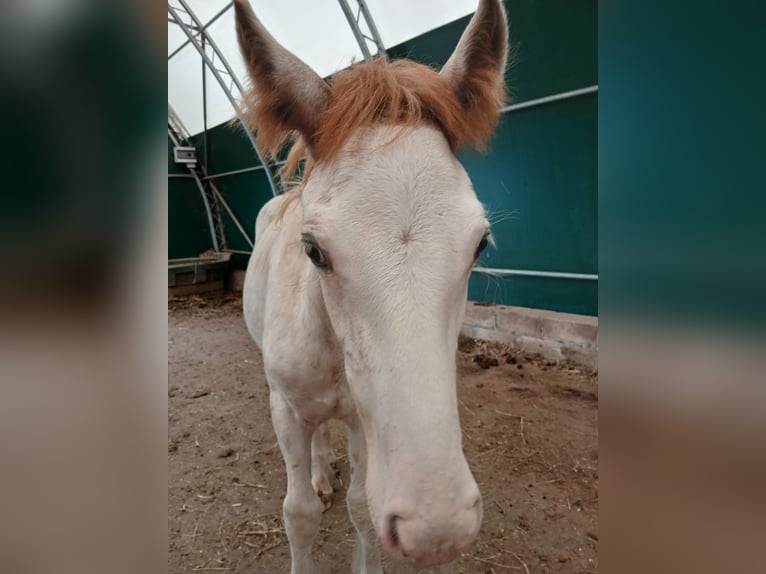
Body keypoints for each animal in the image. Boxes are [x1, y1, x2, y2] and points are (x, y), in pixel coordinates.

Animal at [236, 1, 510, 572]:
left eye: (480, 244)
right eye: (312, 249)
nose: (438, 525)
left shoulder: (366, 419)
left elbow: (362, 505)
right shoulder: (284, 408)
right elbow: (298, 513)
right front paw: (312, 494)